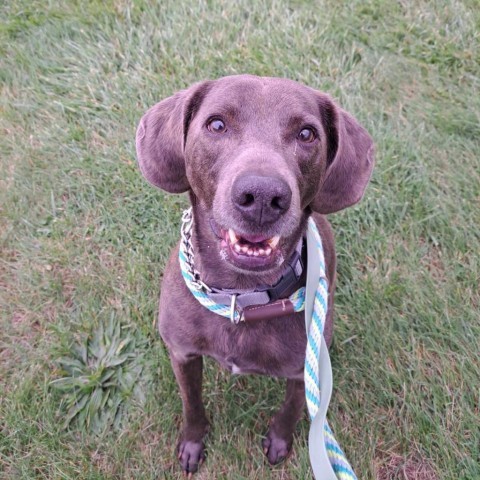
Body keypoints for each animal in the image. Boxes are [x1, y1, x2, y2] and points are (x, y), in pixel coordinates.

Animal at [135, 73, 376, 474]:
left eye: (307, 134)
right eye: (216, 124)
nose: (263, 196)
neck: (242, 297)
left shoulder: (300, 372)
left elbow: (292, 410)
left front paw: (279, 442)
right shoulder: (182, 354)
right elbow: (192, 404)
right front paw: (192, 443)